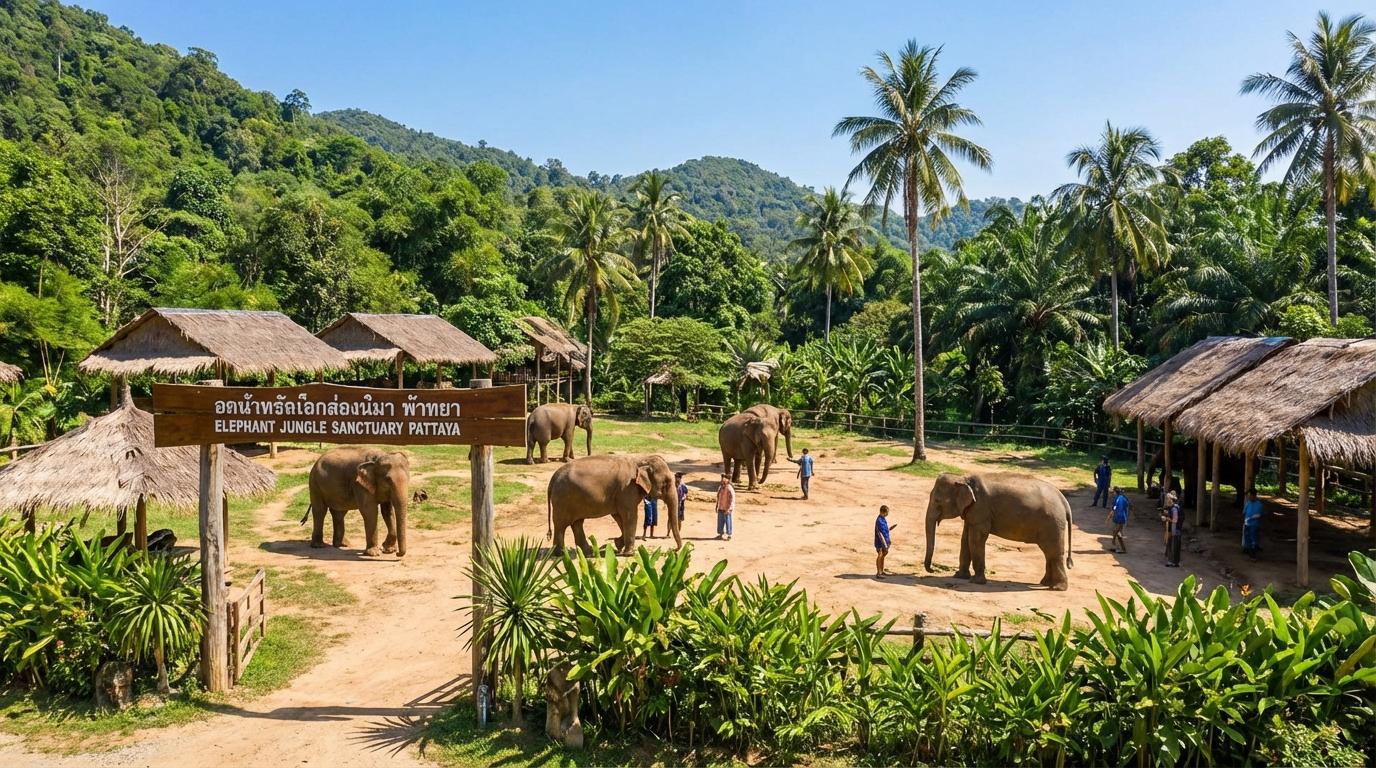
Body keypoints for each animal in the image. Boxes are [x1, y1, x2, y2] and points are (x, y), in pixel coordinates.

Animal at [546, 454, 681, 556]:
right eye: (666, 483)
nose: (674, 550)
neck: (641, 459)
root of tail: (553, 478)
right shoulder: (627, 489)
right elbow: (630, 516)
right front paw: (629, 553)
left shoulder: (621, 494)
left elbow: (619, 517)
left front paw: (618, 545)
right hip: (562, 499)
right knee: (561, 525)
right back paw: (560, 554)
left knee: (577, 523)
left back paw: (588, 552)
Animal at [923, 472, 1075, 590]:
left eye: (937, 500)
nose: (932, 570)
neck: (963, 478)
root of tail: (1063, 500)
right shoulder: (972, 511)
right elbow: (965, 539)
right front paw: (959, 576)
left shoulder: (981, 509)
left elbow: (976, 539)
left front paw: (976, 581)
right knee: (1048, 553)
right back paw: (1045, 583)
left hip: (1052, 524)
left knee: (1054, 552)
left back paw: (1057, 588)